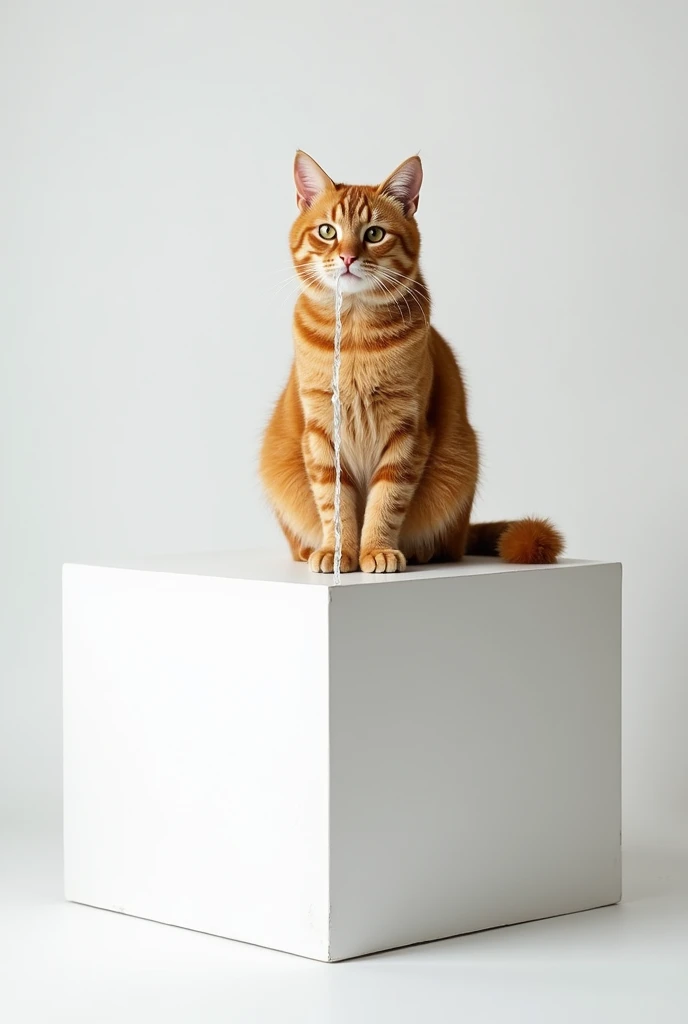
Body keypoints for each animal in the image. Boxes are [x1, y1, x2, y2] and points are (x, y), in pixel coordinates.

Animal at [261, 151, 561, 573]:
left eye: (374, 234)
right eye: (327, 231)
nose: (348, 257)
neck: (354, 339)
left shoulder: (408, 429)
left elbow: (386, 501)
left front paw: (375, 549)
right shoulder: (321, 431)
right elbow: (334, 505)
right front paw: (338, 553)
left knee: (447, 545)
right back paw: (310, 550)